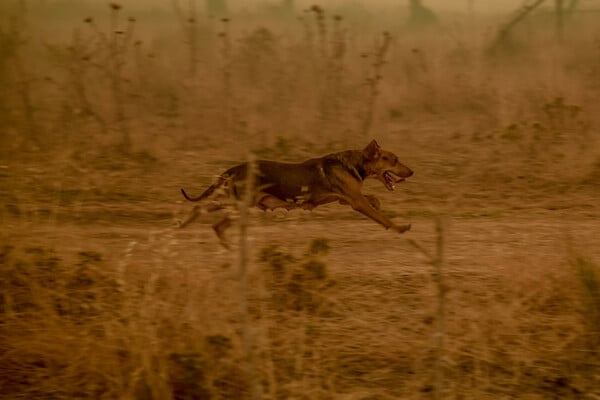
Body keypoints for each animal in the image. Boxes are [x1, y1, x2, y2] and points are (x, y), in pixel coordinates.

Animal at [178, 141, 412, 247]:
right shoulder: (356, 201)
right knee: (217, 225)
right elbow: (382, 217)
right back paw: (228, 246)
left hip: (234, 201)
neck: (355, 163)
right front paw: (400, 228)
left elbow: (374, 201)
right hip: (242, 204)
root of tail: (236, 168)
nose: (412, 172)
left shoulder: (346, 199)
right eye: (394, 160)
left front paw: (379, 203)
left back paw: (184, 225)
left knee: (200, 207)